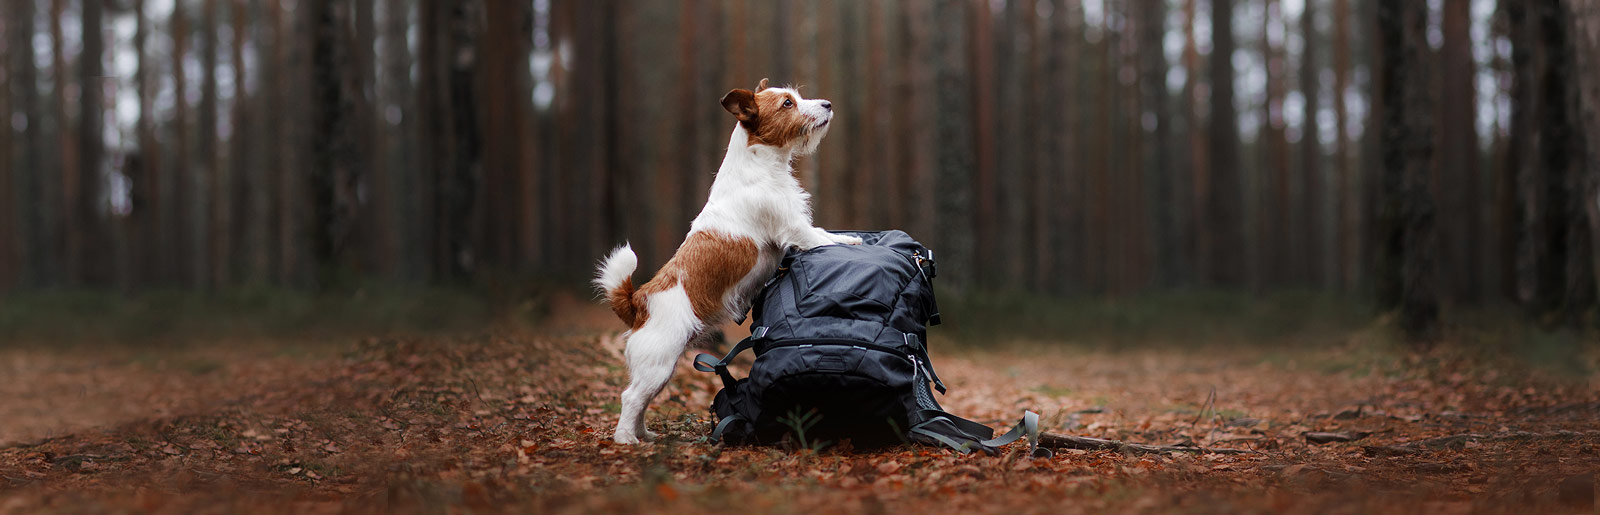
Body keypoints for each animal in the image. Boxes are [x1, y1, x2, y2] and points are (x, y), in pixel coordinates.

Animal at [592, 78, 864, 444]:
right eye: (787, 103)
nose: (828, 105)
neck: (759, 165)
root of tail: (638, 303)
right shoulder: (795, 230)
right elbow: (822, 239)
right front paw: (851, 244)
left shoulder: (800, 226)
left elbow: (826, 234)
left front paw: (852, 240)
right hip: (658, 362)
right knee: (630, 397)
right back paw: (626, 439)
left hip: (662, 369)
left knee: (642, 400)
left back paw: (645, 434)